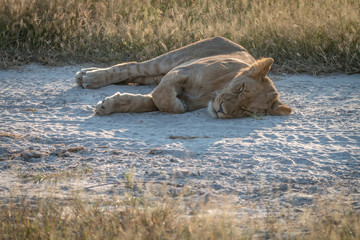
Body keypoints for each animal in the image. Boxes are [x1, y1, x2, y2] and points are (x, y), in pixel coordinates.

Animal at [75, 36, 290, 119]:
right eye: (240, 88)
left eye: (246, 110)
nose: (222, 110)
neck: (212, 93)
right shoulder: (181, 71)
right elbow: (164, 99)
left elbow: (147, 102)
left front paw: (107, 105)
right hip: (169, 60)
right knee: (131, 67)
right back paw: (89, 77)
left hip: (156, 75)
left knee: (138, 77)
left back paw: (85, 73)